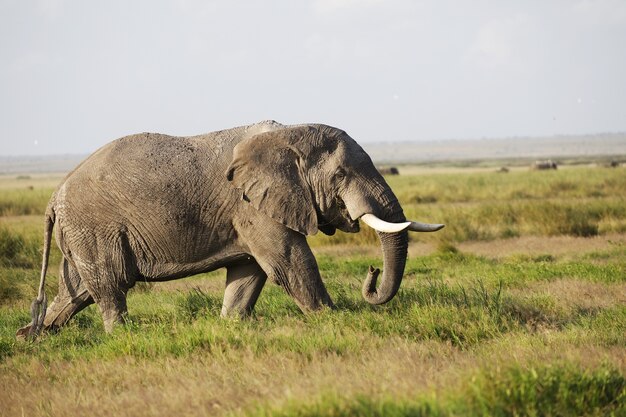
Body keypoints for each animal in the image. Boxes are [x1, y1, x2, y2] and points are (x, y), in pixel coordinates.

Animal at [15, 119, 444, 338]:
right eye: (340, 176)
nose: (370, 274)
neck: (287, 134)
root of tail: (55, 195)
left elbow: (248, 273)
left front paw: (232, 326)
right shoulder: (252, 205)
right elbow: (289, 262)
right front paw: (333, 320)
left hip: (81, 232)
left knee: (76, 291)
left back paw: (33, 336)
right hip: (93, 227)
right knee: (109, 286)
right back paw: (121, 337)